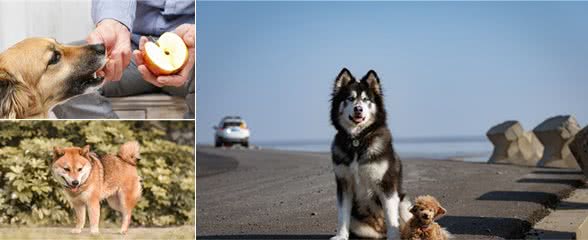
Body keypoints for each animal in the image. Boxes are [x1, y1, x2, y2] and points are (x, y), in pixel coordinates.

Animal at [328, 68, 412, 240]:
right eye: (350, 98)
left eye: (366, 99)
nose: (358, 109)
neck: (357, 140)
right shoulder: (344, 183)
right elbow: (342, 214)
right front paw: (341, 236)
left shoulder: (386, 183)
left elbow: (391, 215)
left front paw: (394, 236)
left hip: (403, 202)